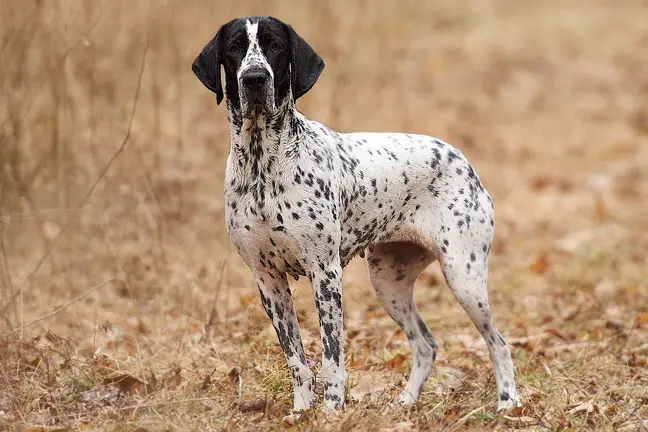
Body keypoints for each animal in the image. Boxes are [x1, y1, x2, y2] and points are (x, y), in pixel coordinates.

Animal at [191, 16, 516, 414]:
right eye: (235, 46)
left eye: (275, 45)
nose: (254, 78)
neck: (262, 163)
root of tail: (463, 161)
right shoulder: (267, 280)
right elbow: (296, 358)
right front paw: (301, 410)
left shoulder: (325, 273)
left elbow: (332, 357)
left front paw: (332, 411)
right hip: (389, 283)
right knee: (426, 344)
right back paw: (406, 402)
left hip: (463, 277)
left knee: (499, 343)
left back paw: (508, 403)